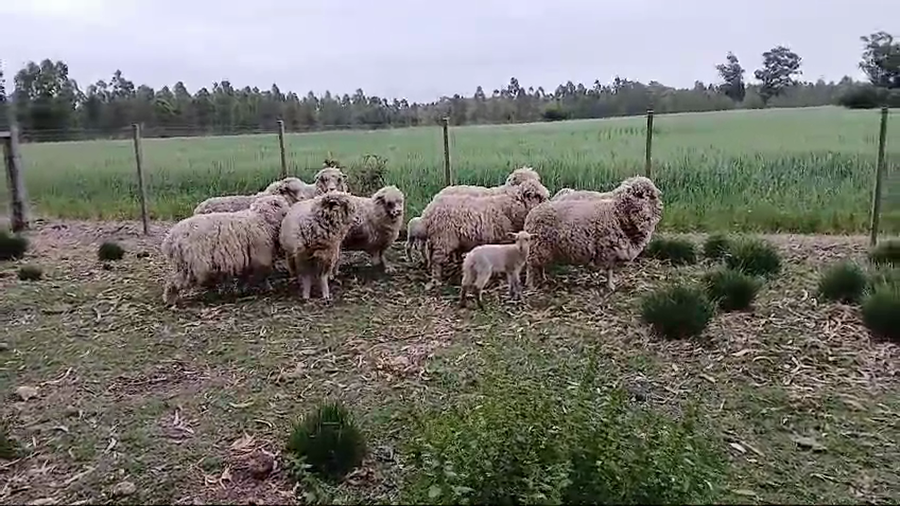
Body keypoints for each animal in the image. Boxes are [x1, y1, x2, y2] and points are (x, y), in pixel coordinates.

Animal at [161, 194, 291, 305]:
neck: (262, 219)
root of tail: (170, 239)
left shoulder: (247, 259)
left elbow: (245, 276)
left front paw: (241, 289)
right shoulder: (260, 256)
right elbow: (263, 275)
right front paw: (267, 288)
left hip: (183, 264)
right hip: (191, 265)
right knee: (173, 281)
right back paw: (170, 300)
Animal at [422, 178, 550, 290]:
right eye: (537, 196)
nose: (548, 204)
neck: (512, 205)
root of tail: (428, 211)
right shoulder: (503, 238)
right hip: (443, 239)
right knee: (436, 261)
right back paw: (437, 280)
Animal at [524, 176, 663, 291]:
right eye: (645, 195)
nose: (661, 205)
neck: (617, 213)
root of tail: (532, 213)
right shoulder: (608, 249)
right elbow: (609, 270)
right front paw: (610, 285)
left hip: (543, 248)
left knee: (539, 265)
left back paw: (543, 278)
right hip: (536, 246)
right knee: (530, 267)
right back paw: (530, 285)